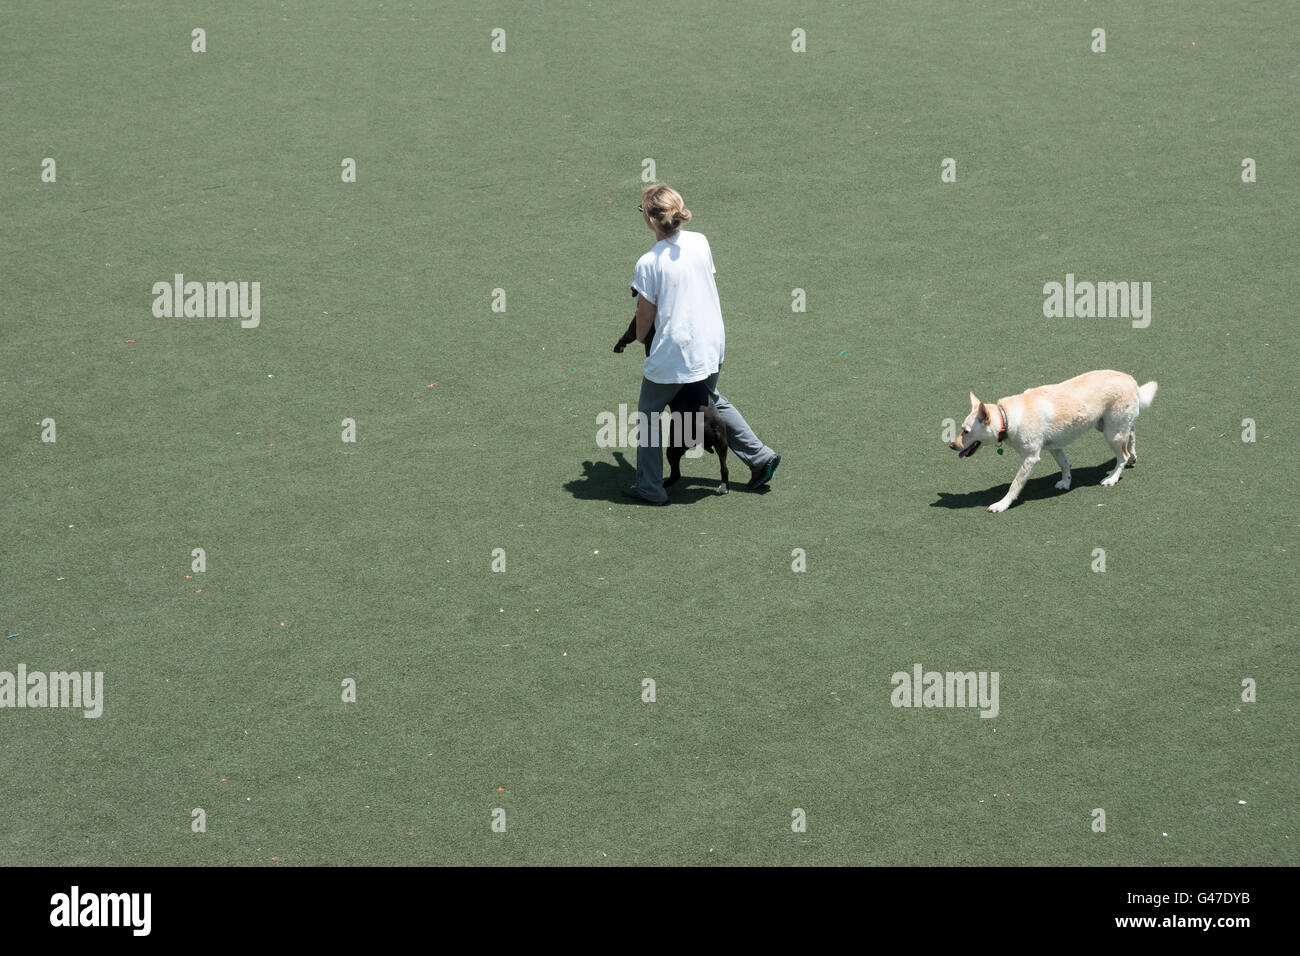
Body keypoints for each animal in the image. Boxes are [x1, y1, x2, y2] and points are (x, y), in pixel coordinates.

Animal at [611, 303, 733, 496]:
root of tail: (711, 426)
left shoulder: (635, 327)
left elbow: (626, 336)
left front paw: (618, 346)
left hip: (675, 446)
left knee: (676, 474)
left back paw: (660, 485)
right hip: (722, 445)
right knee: (724, 468)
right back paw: (723, 487)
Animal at [951, 369, 1154, 512]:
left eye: (965, 431)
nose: (952, 445)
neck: (1007, 417)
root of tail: (1131, 380)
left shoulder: (1030, 458)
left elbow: (1015, 484)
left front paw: (1001, 505)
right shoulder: (1055, 447)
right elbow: (1064, 465)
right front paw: (1066, 482)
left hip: (1112, 434)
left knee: (1122, 455)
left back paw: (1112, 477)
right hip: (1107, 425)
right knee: (1131, 433)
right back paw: (1133, 457)